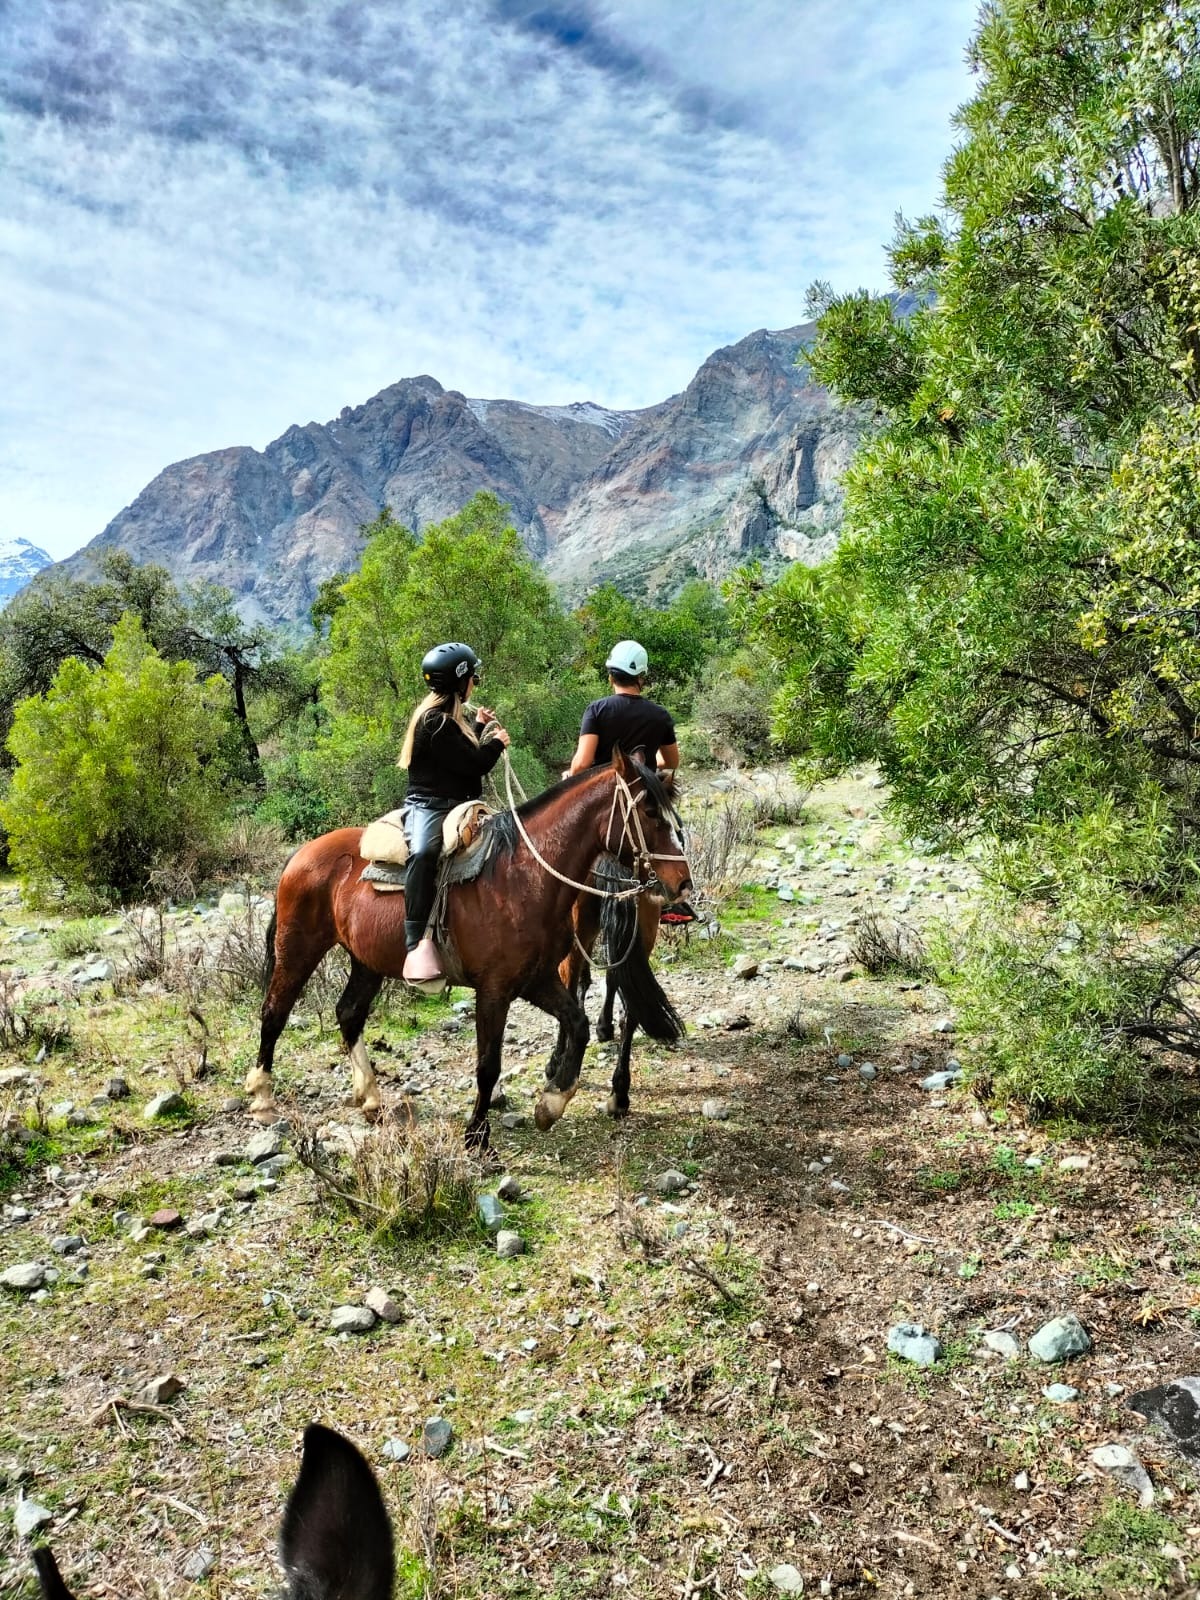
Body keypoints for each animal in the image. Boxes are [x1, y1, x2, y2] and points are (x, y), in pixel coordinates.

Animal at [246, 755, 694, 1145]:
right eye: (650, 813)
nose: (682, 883)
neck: (525, 877)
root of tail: (302, 854)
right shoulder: (494, 990)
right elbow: (487, 1065)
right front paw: (477, 1134)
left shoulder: (536, 980)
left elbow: (578, 1024)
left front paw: (551, 1102)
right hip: (298, 947)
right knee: (274, 1012)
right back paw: (263, 1098)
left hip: (366, 961)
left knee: (349, 1013)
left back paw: (370, 1097)